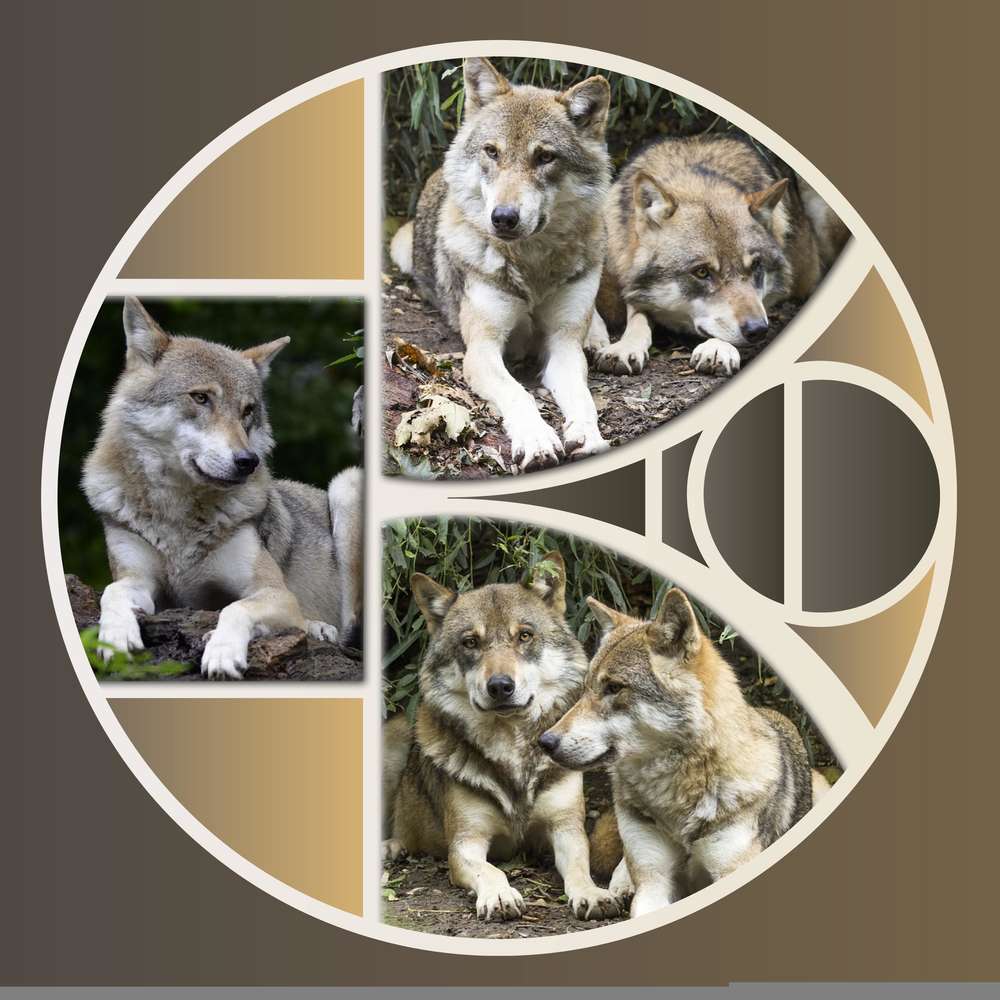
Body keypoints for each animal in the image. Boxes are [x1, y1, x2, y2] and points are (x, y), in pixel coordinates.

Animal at [82, 297, 364, 679]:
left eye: (247, 411)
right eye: (201, 398)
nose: (247, 461)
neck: (179, 515)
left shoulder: (273, 592)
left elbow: (235, 608)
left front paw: (222, 652)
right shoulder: (142, 581)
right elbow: (111, 591)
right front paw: (115, 636)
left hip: (346, 485)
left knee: (352, 627)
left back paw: (319, 627)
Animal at [383, 553, 621, 922]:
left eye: (524, 636)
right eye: (470, 642)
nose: (499, 686)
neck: (511, 747)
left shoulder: (566, 830)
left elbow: (580, 868)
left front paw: (593, 894)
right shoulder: (465, 843)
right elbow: (491, 870)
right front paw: (499, 895)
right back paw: (392, 846)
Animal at [390, 58, 613, 470]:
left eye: (545, 157)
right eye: (492, 152)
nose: (504, 218)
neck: (533, 266)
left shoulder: (562, 345)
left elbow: (583, 398)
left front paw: (589, 436)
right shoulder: (482, 349)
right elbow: (518, 394)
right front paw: (538, 439)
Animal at [539, 588, 830, 918]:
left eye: (614, 687)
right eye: (587, 688)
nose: (545, 741)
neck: (677, 800)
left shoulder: (731, 869)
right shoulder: (654, 881)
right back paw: (621, 886)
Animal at [590, 134, 849, 377]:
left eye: (756, 266)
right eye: (702, 272)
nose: (758, 329)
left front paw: (716, 348)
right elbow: (633, 316)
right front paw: (624, 347)